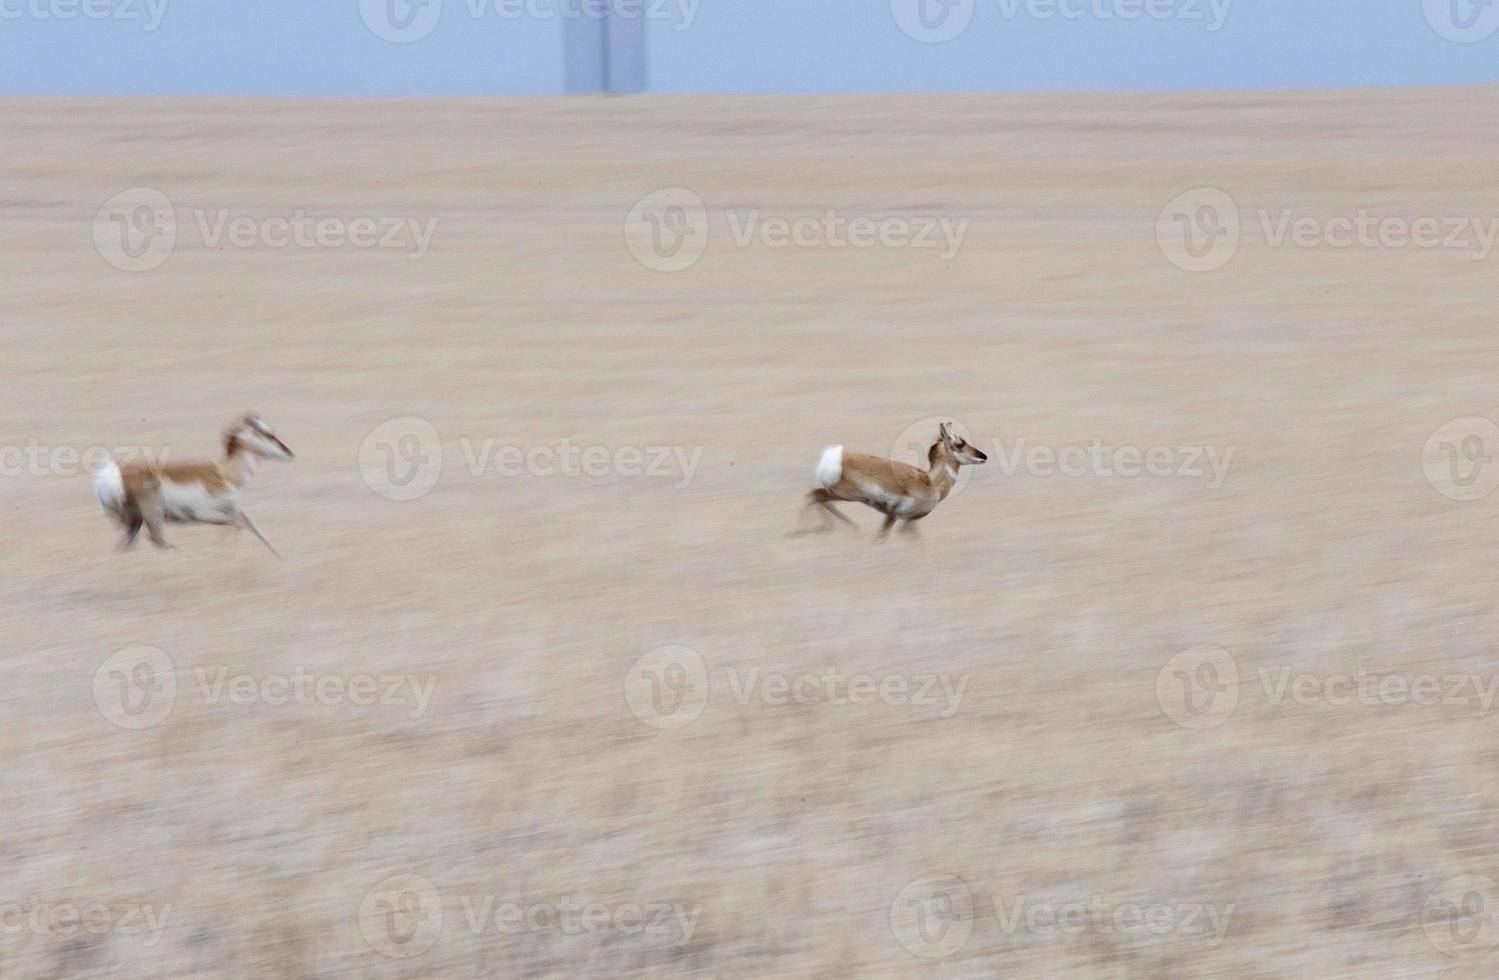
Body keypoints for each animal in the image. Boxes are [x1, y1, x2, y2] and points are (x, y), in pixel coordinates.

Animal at [94, 410, 295, 557]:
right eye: (269, 433)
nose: (289, 453)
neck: (223, 473)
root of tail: (113, 473)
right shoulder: (205, 515)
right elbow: (237, 524)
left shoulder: (234, 509)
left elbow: (253, 527)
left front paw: (279, 556)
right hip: (152, 515)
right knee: (158, 540)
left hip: (134, 520)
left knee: (129, 543)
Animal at [803, 425, 989, 542]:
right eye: (960, 443)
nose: (983, 456)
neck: (930, 482)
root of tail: (838, 456)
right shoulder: (903, 519)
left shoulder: (894, 517)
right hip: (846, 494)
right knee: (815, 495)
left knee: (815, 496)